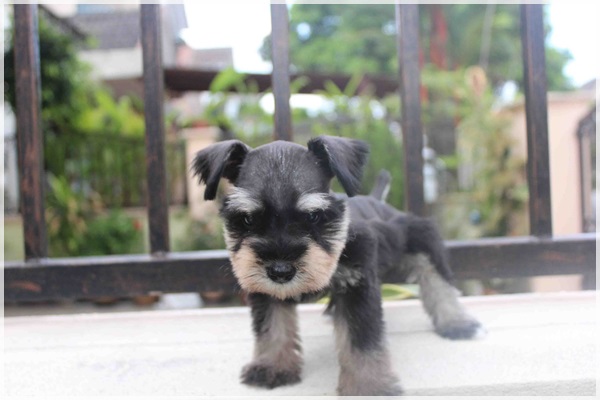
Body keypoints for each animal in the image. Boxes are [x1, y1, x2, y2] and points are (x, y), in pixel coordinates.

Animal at [192, 135, 483, 396]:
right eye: (248, 219)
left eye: (313, 216)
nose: (280, 272)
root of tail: (378, 201)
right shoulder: (264, 291)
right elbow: (271, 327)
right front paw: (272, 366)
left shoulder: (358, 283)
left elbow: (361, 339)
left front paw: (368, 387)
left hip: (417, 236)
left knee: (436, 278)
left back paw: (456, 322)